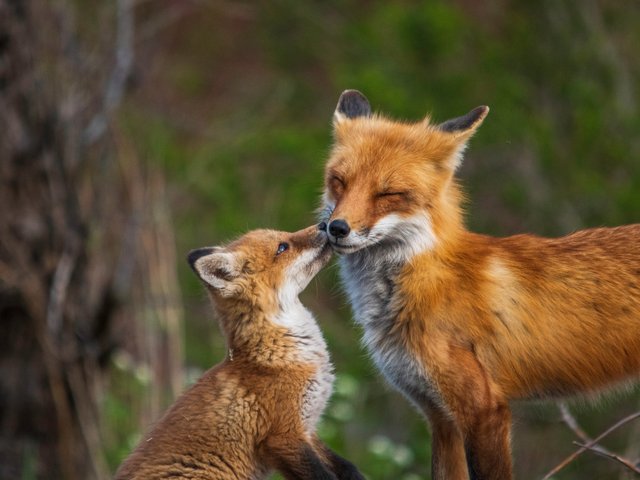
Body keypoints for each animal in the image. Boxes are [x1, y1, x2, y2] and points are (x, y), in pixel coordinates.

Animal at [115, 226, 364, 480]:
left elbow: (346, 466)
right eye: (282, 247)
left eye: (284, 235)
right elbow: (323, 475)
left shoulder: (307, 428)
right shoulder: (284, 436)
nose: (325, 224)